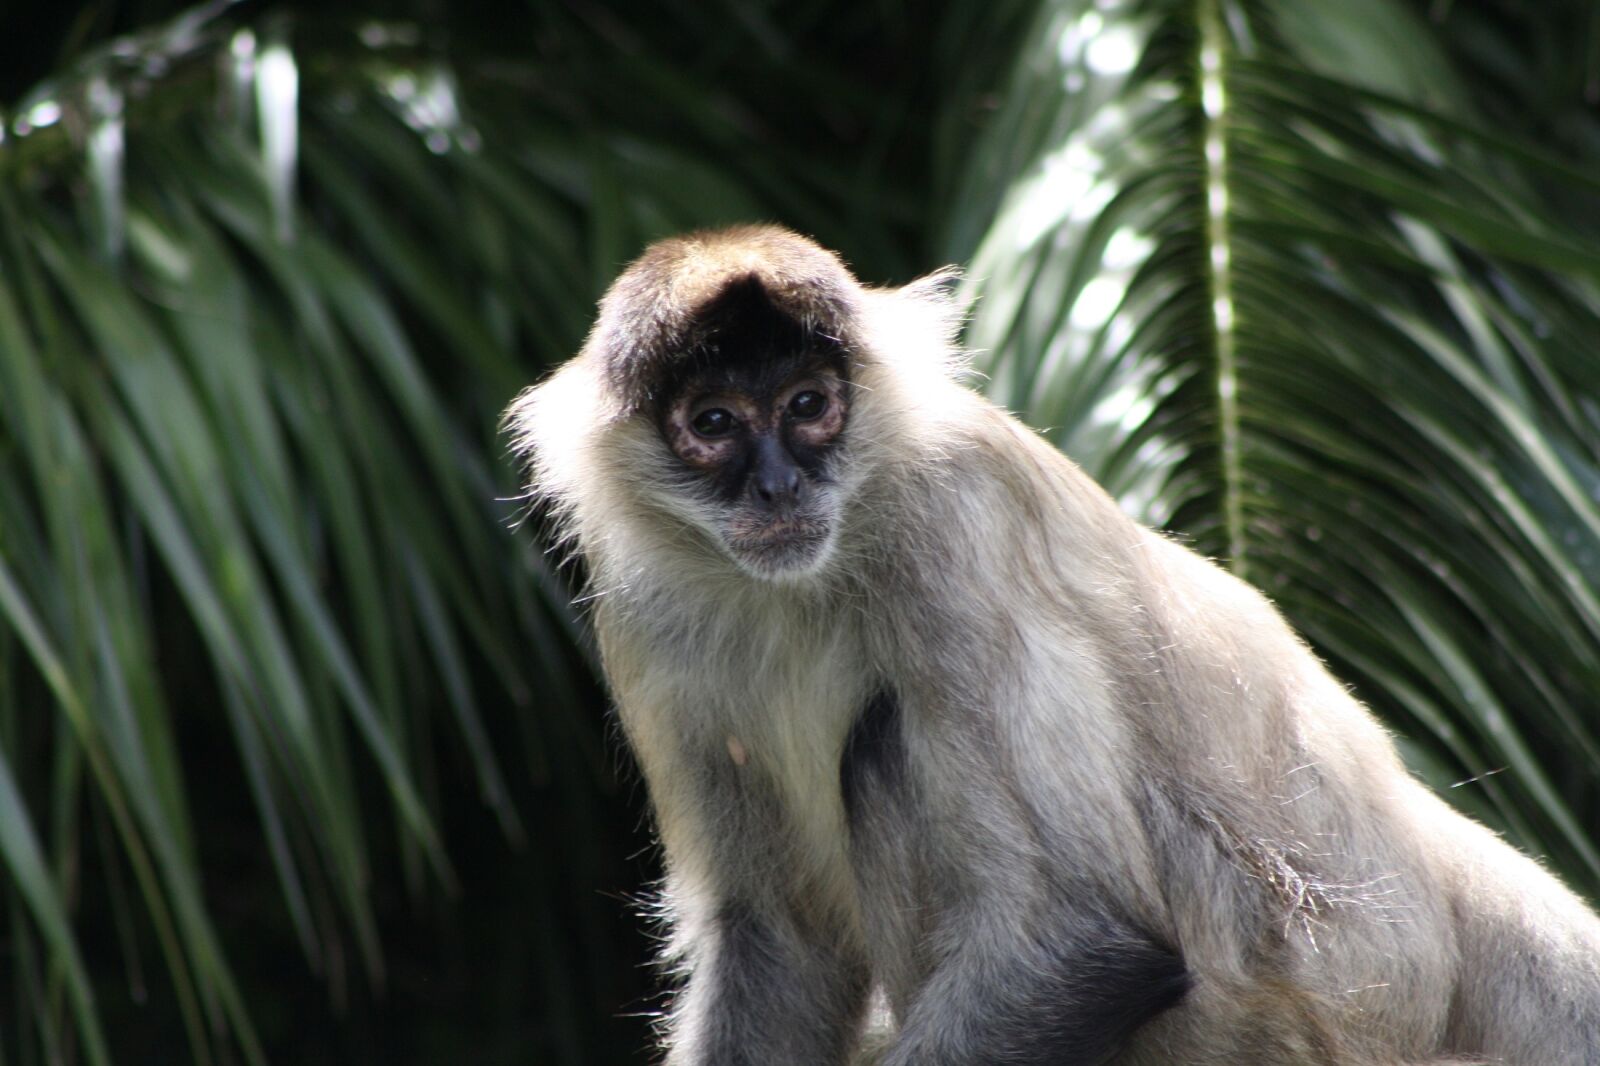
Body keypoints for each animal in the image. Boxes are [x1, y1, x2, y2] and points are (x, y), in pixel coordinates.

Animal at [505, 225, 1600, 1065]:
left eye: (809, 407)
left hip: (1279, 984)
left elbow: (1083, 940)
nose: (777, 485)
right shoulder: (644, 604)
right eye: (716, 423)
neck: (810, 575)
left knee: (884, 750)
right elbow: (779, 945)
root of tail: (1425, 865)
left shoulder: (955, 514)